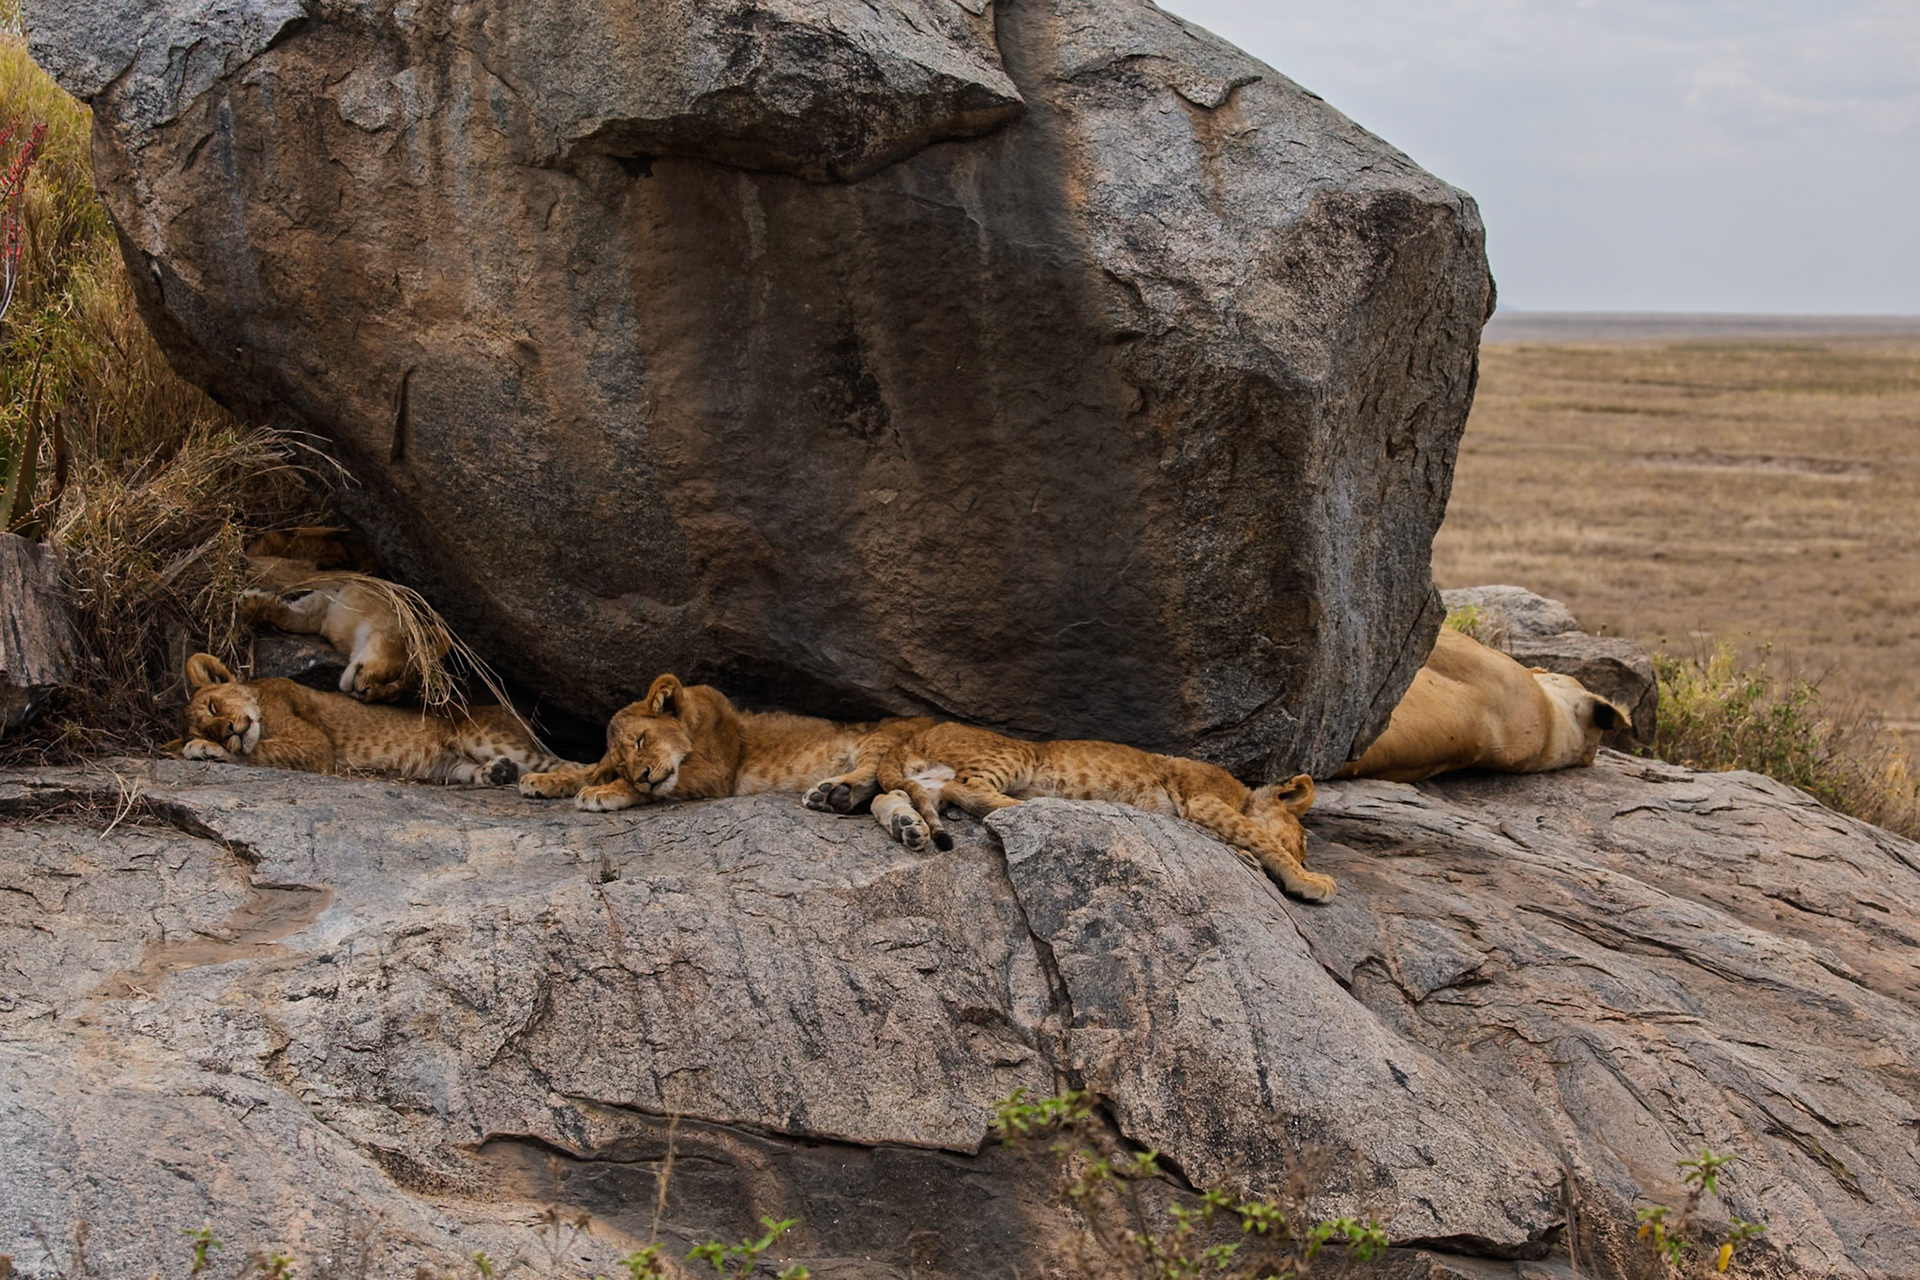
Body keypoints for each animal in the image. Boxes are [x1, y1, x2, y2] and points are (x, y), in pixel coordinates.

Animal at [180, 653, 566, 785]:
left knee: (565, 762)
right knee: (469, 771)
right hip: (450, 765)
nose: (228, 730)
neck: (259, 696)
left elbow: (257, 751)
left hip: (483, 735)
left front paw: (203, 749)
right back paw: (497, 773)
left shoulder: (314, 746)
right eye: (210, 725)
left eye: (212, 707)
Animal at [517, 673, 933, 813]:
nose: (642, 775)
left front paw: (602, 793)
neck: (692, 722)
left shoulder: (717, 774)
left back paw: (832, 792)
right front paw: (541, 780)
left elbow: (648, 789)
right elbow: (588, 767)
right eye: (621, 762)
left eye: (641, 740)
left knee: (872, 771)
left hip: (878, 737)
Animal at [869, 723, 1332, 902]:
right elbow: (1263, 837)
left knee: (897, 795)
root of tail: (913, 735)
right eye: (1304, 844)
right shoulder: (1202, 798)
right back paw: (1035, 805)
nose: (1308, 860)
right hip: (1015, 753)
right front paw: (1310, 880)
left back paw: (907, 827)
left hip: (923, 780)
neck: (1242, 794)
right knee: (964, 785)